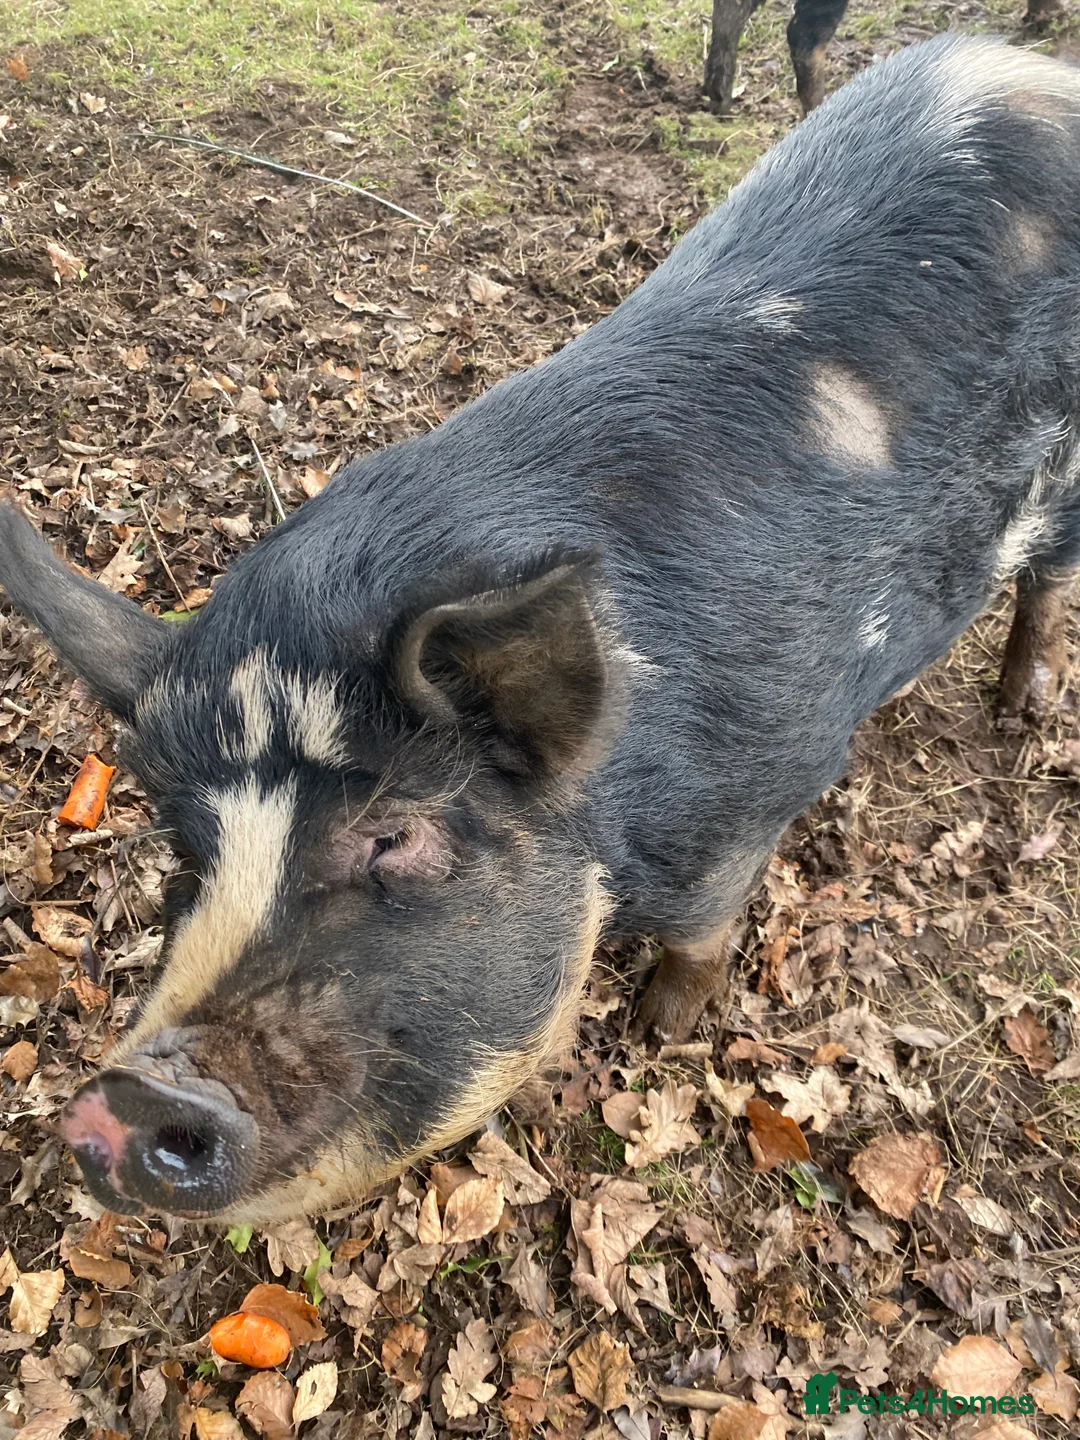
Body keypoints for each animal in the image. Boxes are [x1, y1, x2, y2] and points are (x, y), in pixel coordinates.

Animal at [1, 34, 1079, 1222]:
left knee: (1047, 582)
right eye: (185, 847)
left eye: (394, 835)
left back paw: (1019, 710)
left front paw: (659, 1030)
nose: (120, 1100)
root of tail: (1024, 66)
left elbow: (703, 930)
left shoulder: (755, 797)